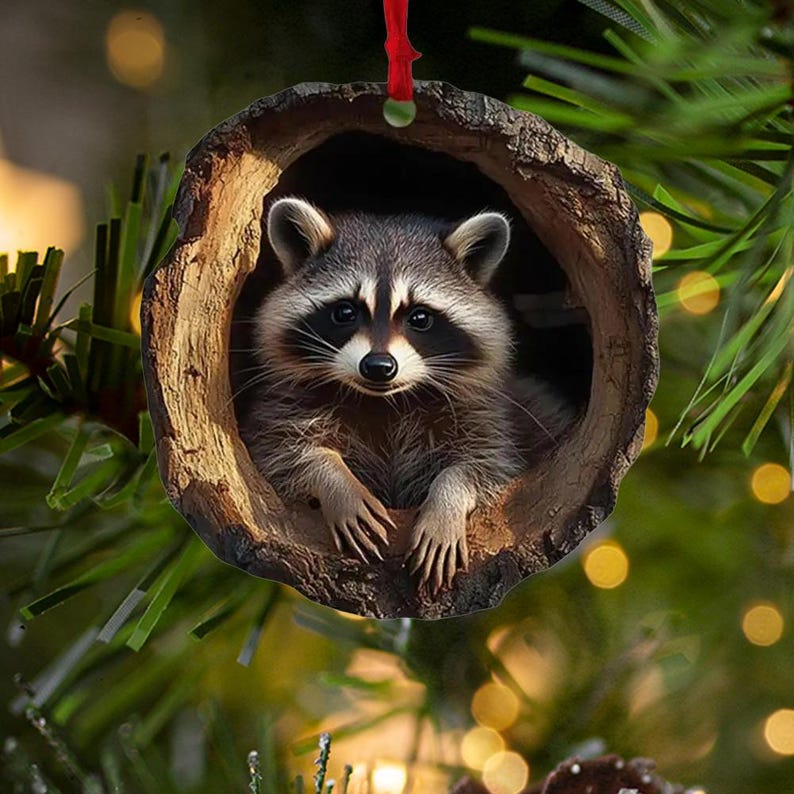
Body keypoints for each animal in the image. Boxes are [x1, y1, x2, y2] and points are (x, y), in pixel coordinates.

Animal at [238, 197, 573, 593]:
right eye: (345, 311)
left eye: (420, 317)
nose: (378, 366)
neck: (385, 400)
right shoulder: (285, 404)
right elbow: (279, 451)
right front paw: (334, 480)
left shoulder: (487, 414)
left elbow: (487, 465)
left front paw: (447, 501)